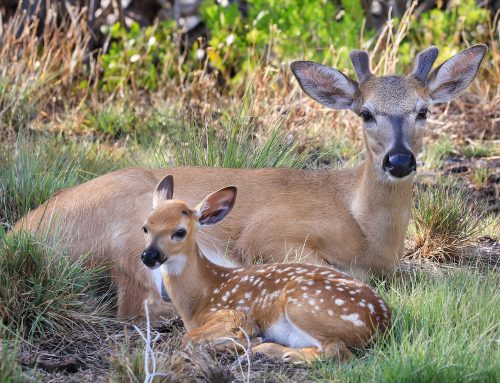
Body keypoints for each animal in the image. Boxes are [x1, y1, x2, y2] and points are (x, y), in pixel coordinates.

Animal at [13, 44, 486, 318]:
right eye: (366, 112)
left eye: (424, 110)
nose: (400, 160)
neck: (363, 228)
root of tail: (22, 233)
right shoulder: (269, 233)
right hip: (134, 220)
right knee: (141, 304)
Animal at [143, 176, 392, 364]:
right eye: (145, 227)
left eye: (180, 232)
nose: (148, 256)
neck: (199, 299)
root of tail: (381, 322)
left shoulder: (237, 314)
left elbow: (188, 338)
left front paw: (242, 342)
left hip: (303, 302)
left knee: (336, 352)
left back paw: (273, 350)